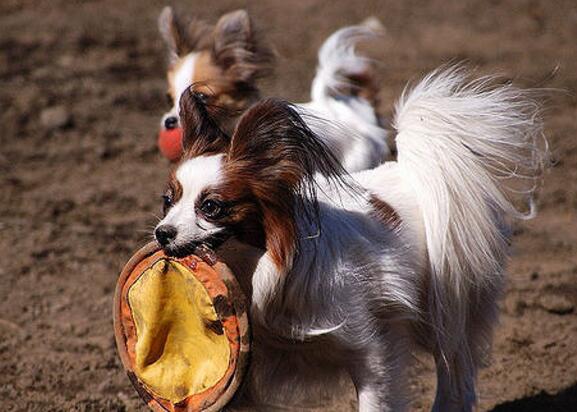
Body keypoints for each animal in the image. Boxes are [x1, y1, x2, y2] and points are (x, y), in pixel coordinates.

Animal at [153, 66, 547, 411]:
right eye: (167, 201)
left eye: (211, 207)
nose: (161, 234)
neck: (259, 265)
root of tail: (416, 174)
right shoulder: (242, 369)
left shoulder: (374, 351)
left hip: (449, 311)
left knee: (457, 379)